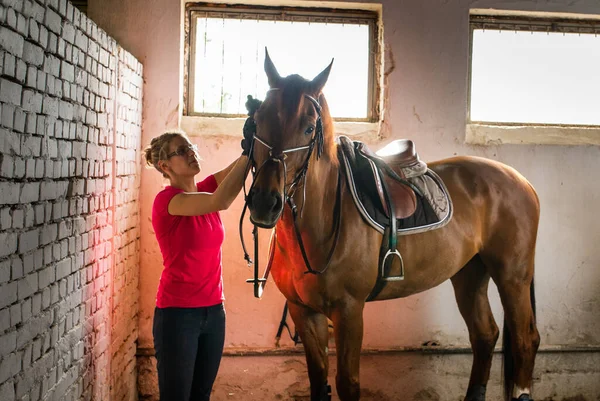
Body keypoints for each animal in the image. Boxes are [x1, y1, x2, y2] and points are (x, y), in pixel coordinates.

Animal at [244, 52, 540, 400]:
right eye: (259, 118)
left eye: (308, 128)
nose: (265, 202)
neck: (321, 219)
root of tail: (520, 179)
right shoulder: (304, 311)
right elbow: (318, 382)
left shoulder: (349, 311)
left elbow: (348, 384)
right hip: (469, 274)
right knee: (485, 334)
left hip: (512, 276)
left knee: (524, 339)